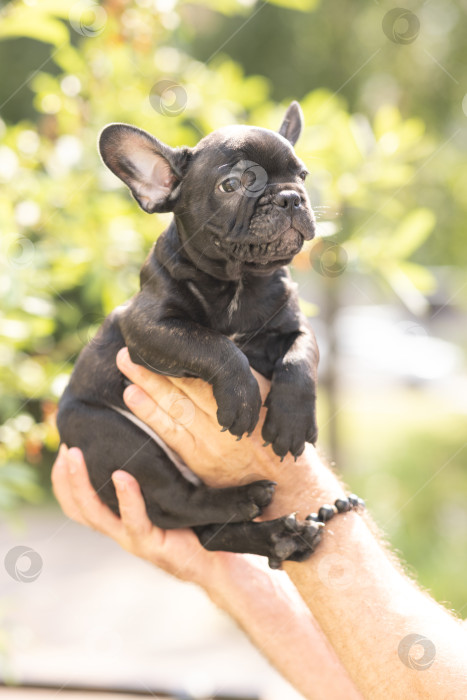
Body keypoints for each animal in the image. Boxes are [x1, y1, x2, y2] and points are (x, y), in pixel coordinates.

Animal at [57, 100, 322, 568]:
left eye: (303, 175)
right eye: (232, 184)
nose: (291, 196)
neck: (239, 281)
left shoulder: (294, 323)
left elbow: (301, 355)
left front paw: (291, 421)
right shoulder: (150, 329)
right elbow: (213, 345)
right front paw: (242, 397)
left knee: (210, 535)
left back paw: (282, 537)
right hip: (115, 436)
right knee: (178, 500)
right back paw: (245, 500)